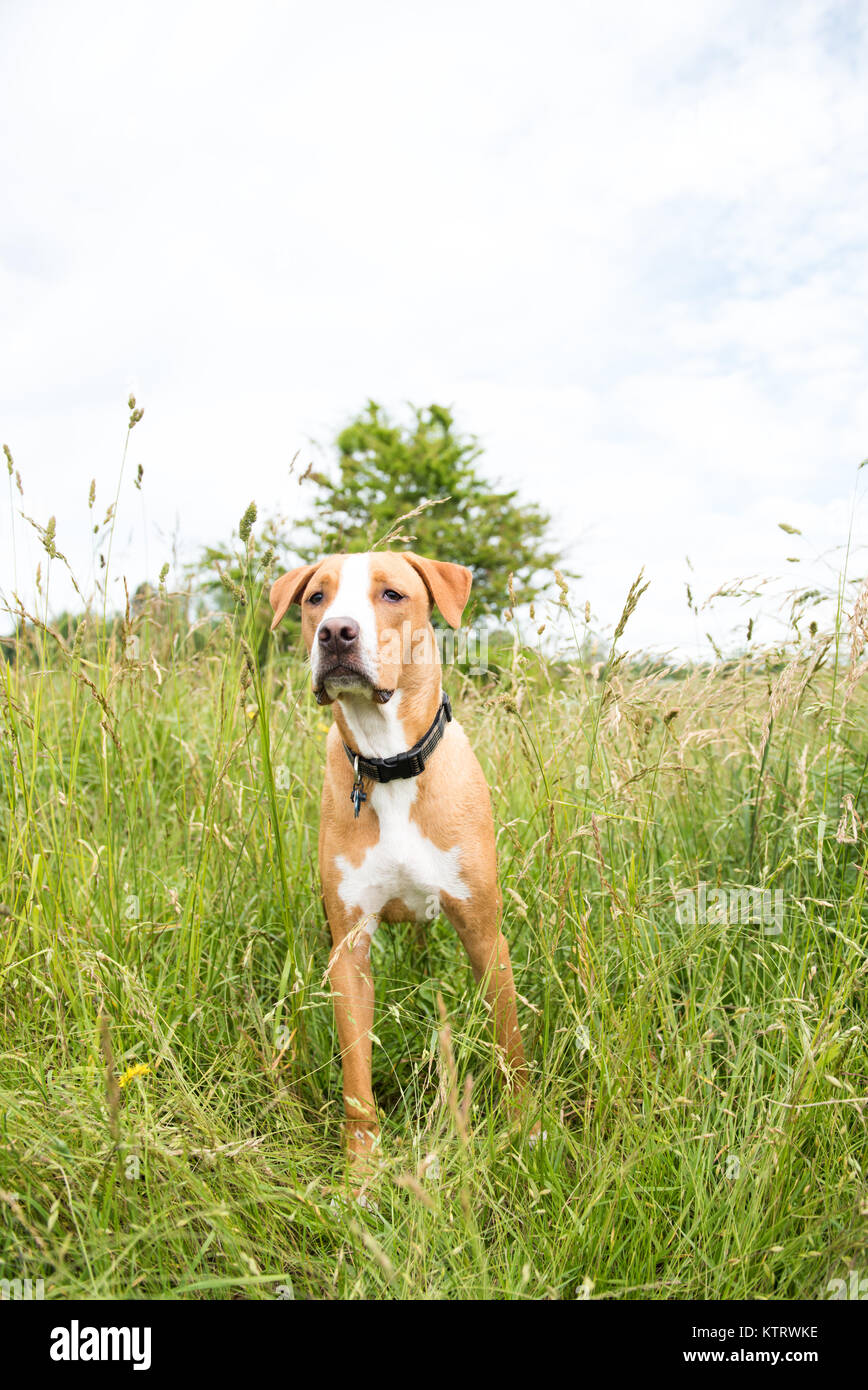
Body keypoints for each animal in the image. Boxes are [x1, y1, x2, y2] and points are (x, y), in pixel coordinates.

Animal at [269, 550, 528, 1173]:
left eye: (392, 595)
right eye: (316, 598)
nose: (335, 632)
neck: (387, 764)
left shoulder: (485, 934)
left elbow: (509, 1042)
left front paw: (526, 1128)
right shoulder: (349, 948)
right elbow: (356, 1073)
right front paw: (360, 1168)